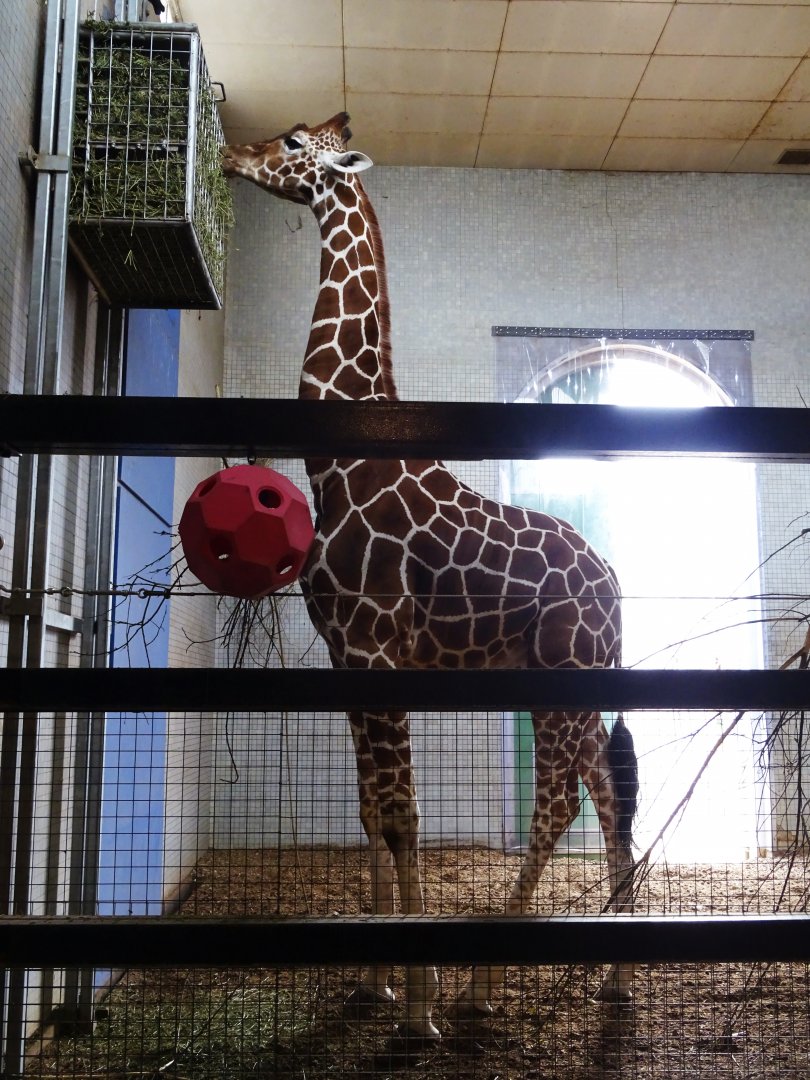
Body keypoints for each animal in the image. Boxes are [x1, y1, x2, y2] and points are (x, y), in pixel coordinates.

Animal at [222, 113, 638, 1043]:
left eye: (294, 140)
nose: (230, 154)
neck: (338, 467)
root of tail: (614, 584)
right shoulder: (344, 656)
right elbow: (371, 811)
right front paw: (373, 985)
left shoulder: (380, 648)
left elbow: (406, 814)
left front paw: (418, 1007)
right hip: (574, 680)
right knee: (606, 788)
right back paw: (618, 981)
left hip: (560, 675)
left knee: (559, 804)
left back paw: (483, 989)